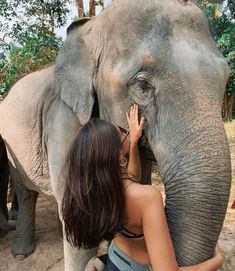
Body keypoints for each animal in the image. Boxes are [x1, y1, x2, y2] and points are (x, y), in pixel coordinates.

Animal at [0, 0, 231, 270]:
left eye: (226, 78)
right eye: (142, 84)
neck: (93, 27)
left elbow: (136, 183)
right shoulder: (63, 119)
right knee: (26, 192)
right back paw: (21, 253)